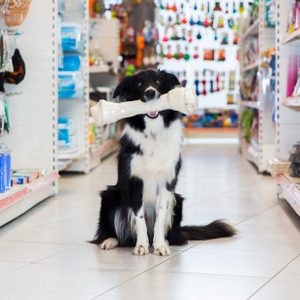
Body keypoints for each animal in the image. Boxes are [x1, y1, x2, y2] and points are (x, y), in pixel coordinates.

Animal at [90, 69, 236, 255]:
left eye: (158, 82)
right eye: (139, 84)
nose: (150, 93)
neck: (153, 132)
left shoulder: (167, 183)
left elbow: (160, 216)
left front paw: (159, 246)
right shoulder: (135, 182)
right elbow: (139, 219)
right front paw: (142, 246)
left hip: (178, 201)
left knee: (174, 235)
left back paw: (166, 241)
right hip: (110, 195)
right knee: (116, 232)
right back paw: (110, 240)